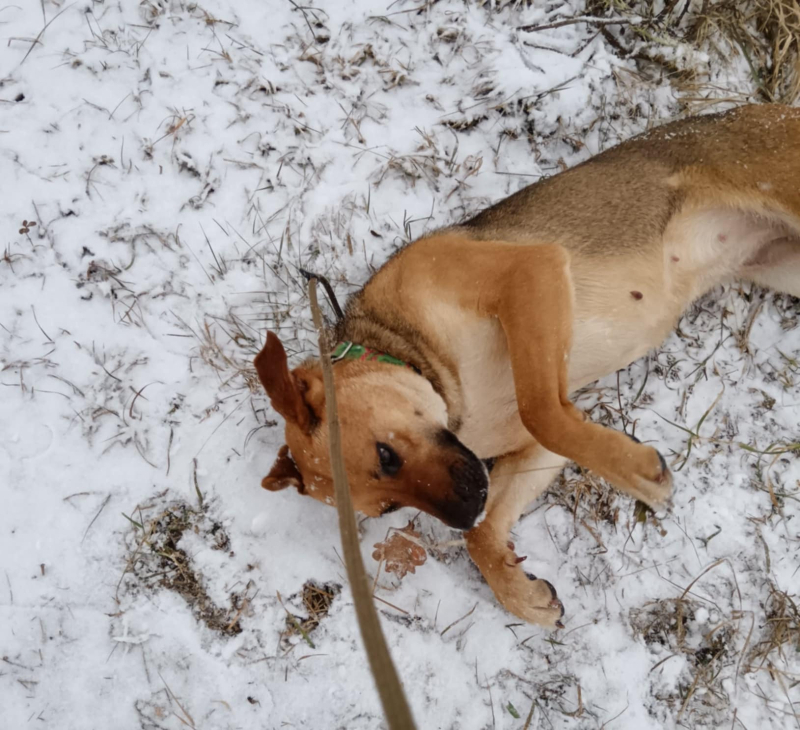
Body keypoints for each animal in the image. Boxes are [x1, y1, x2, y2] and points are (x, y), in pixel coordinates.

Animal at [253, 102, 800, 624]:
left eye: (385, 455)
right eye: (388, 506)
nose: (468, 510)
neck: (415, 354)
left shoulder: (527, 274)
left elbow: (543, 409)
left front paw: (639, 474)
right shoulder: (531, 451)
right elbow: (488, 529)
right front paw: (519, 592)